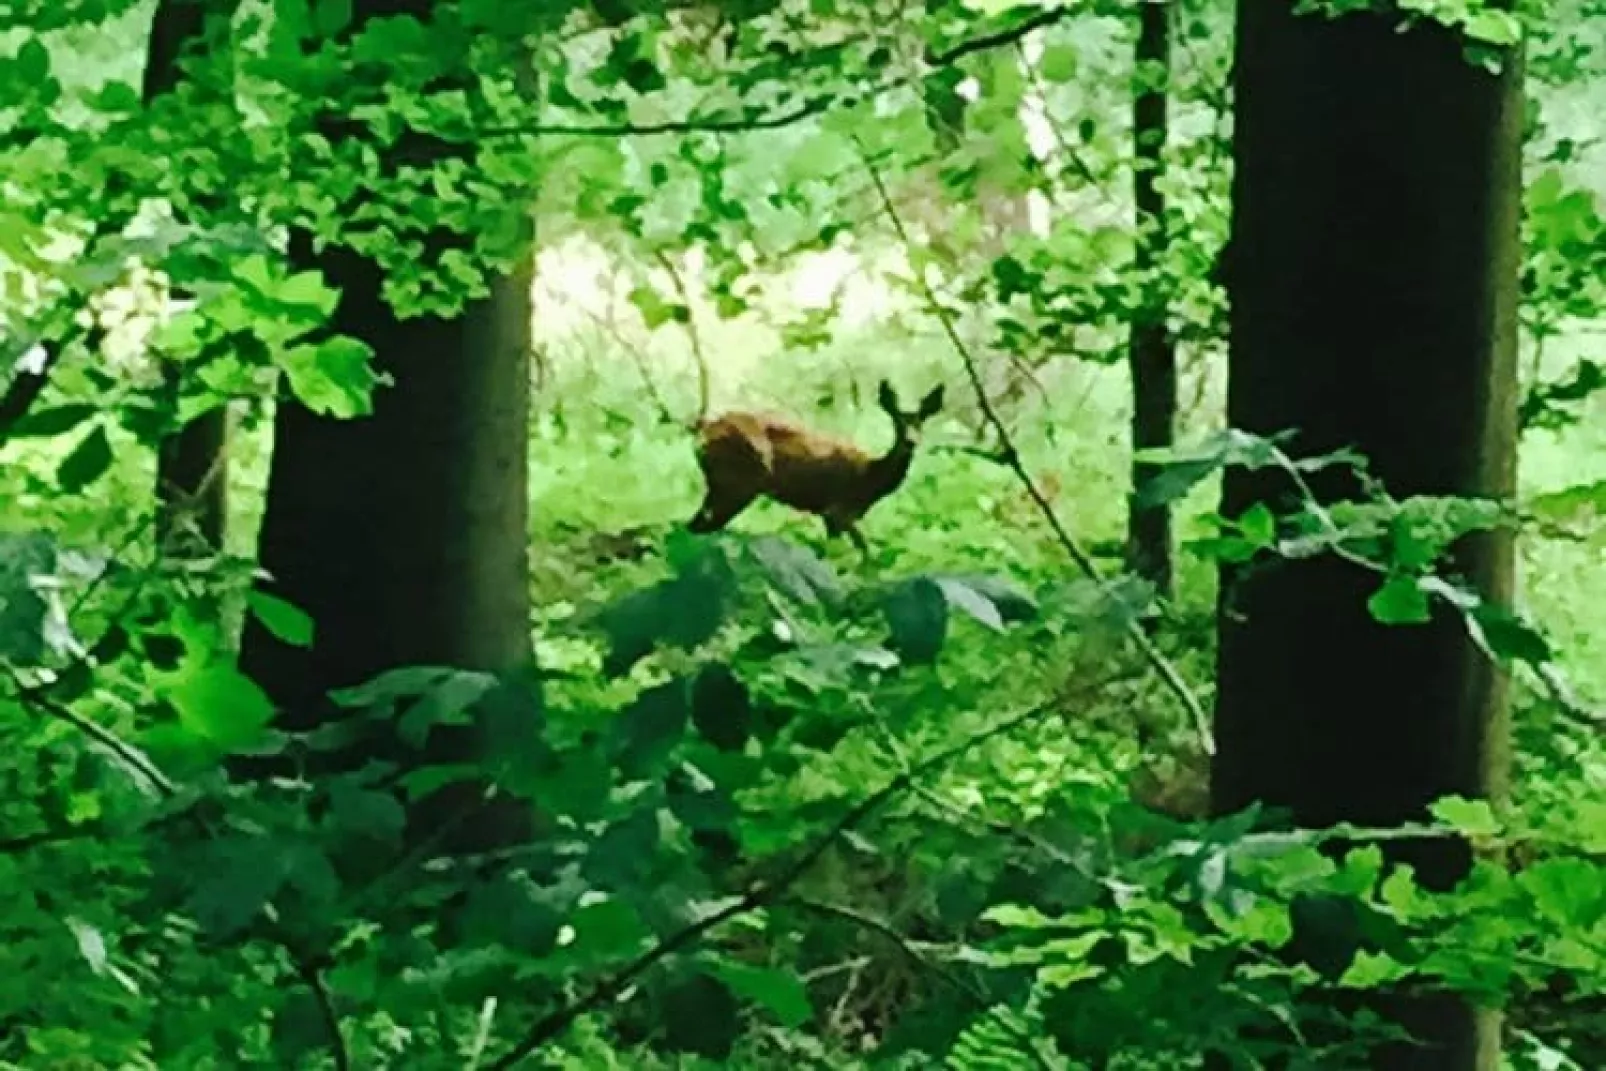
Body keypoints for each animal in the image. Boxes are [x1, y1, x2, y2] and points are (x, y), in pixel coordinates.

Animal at [687, 380, 937, 552]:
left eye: (921, 423)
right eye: (897, 423)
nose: (911, 441)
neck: (869, 480)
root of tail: (702, 432)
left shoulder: (834, 516)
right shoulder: (837, 510)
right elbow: (862, 549)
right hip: (735, 484)